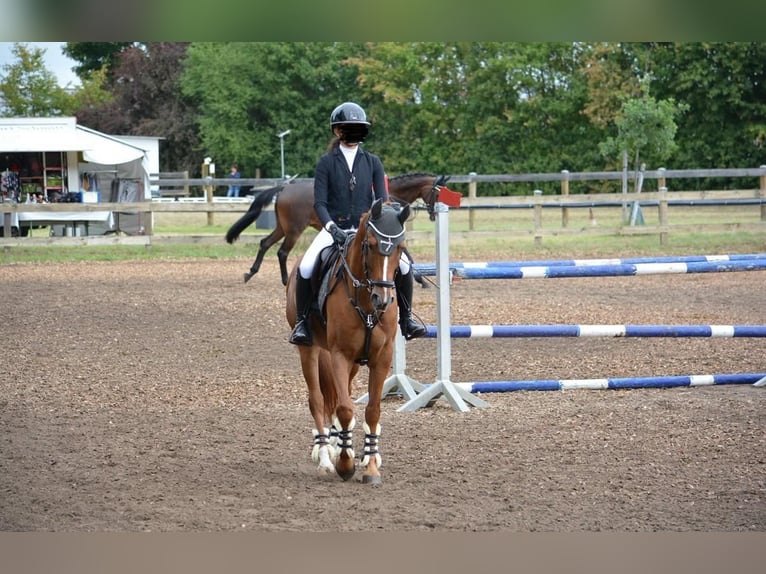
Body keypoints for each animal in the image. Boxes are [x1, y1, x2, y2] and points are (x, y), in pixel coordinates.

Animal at [225, 173, 454, 286]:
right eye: (438, 193)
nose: (434, 214)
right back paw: (282, 280)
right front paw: (420, 279)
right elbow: (409, 257)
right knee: (281, 251)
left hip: (283, 227)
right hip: (294, 230)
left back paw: (251, 273)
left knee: (265, 243)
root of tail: (284, 187)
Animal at [285, 198, 410, 484]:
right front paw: (344, 464)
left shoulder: (381, 357)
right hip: (309, 350)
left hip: (353, 363)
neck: (365, 303)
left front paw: (371, 465)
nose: (383, 300)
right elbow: (344, 408)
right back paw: (324, 456)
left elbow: (372, 410)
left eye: (400, 248)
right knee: (318, 400)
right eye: (370, 245)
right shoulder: (339, 355)